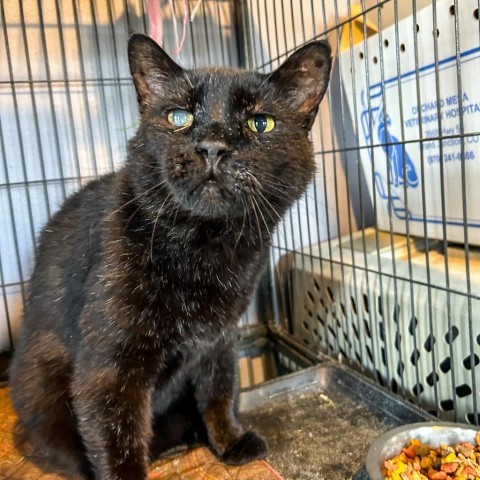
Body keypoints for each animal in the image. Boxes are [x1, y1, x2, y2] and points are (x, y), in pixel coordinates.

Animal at [8, 33, 330, 480]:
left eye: (260, 122)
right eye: (179, 116)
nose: (212, 147)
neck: (205, 249)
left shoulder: (219, 338)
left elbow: (218, 390)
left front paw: (228, 439)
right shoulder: (110, 365)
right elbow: (116, 437)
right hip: (40, 382)